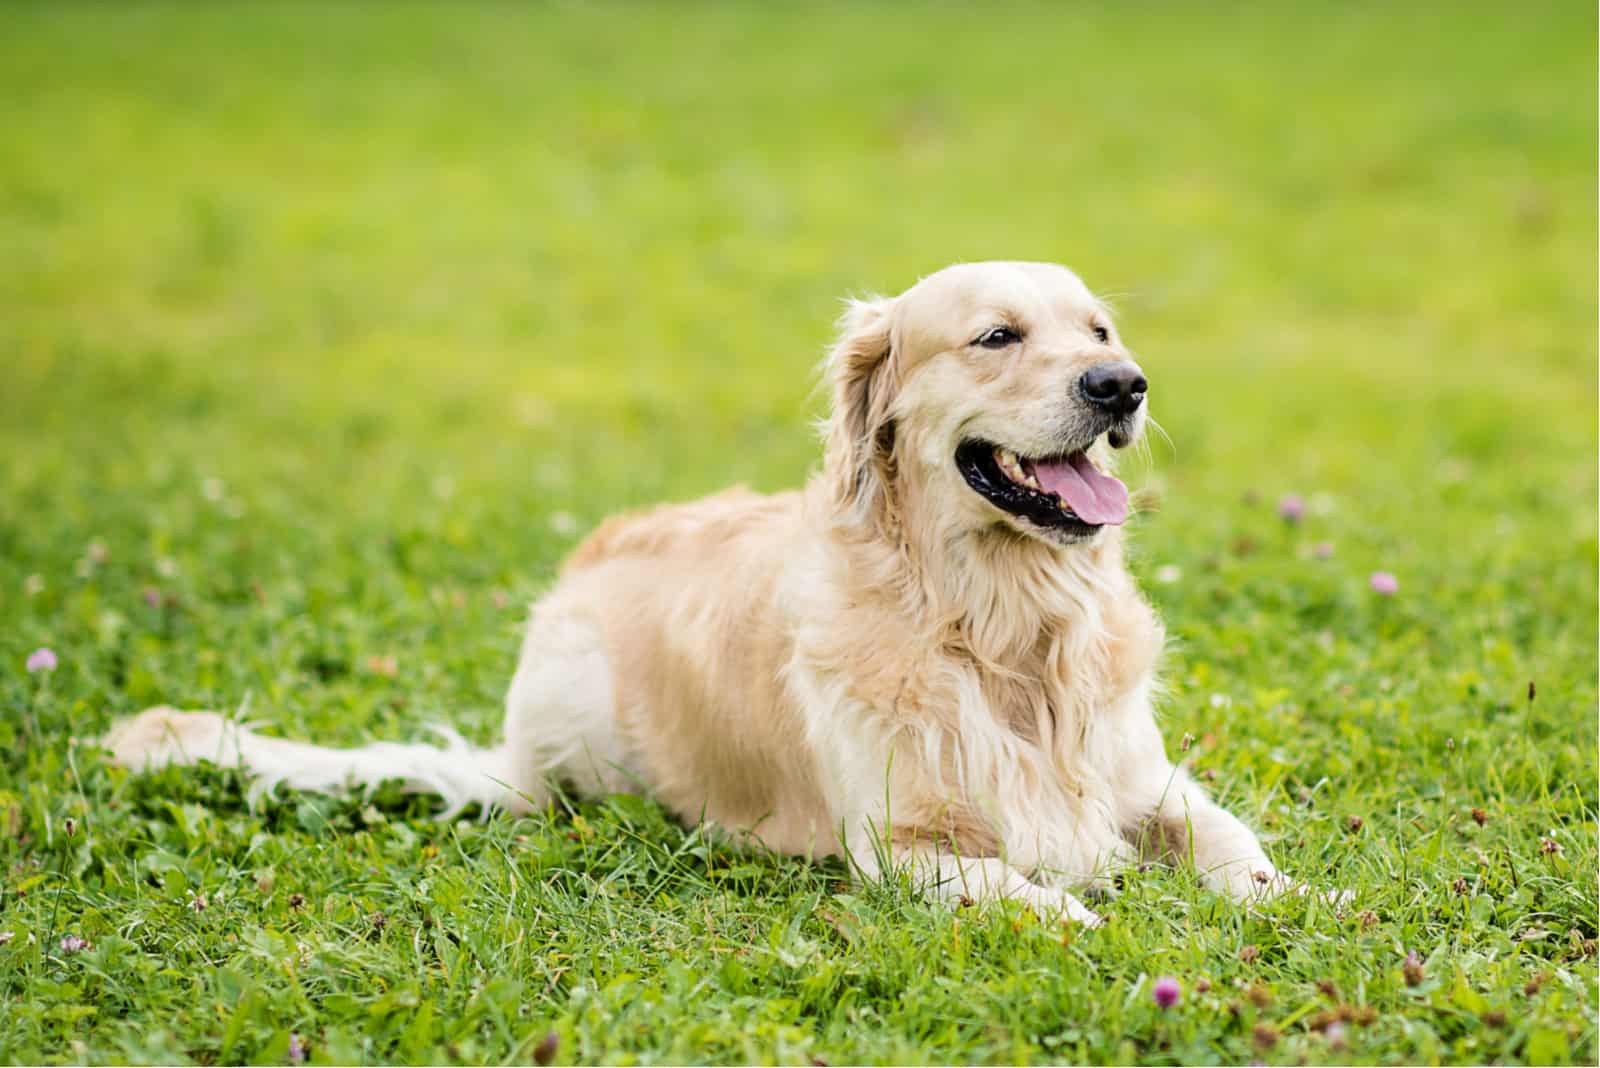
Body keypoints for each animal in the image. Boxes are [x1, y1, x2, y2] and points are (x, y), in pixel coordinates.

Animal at [100, 260, 1305, 927]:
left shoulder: (1147, 782)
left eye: (1099, 329)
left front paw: (1305, 904)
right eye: (996, 336)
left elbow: (1235, 849)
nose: (1122, 386)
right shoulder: (896, 843)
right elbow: (1014, 888)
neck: (1001, 626)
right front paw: (1090, 921)